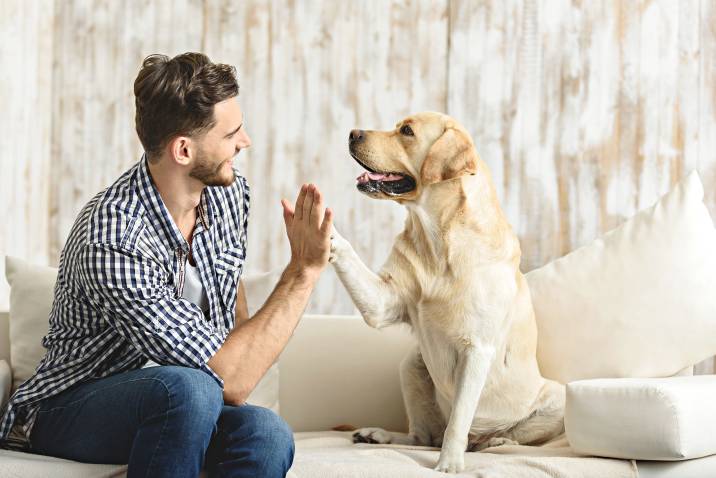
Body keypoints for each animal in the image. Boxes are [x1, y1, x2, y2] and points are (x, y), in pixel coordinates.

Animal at [328, 113, 564, 474]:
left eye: (407, 131)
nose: (353, 133)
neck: (438, 240)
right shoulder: (383, 302)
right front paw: (320, 226)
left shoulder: (477, 350)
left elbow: (459, 420)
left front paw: (449, 463)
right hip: (412, 365)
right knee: (422, 436)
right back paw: (378, 435)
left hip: (556, 397)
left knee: (504, 436)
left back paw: (493, 440)